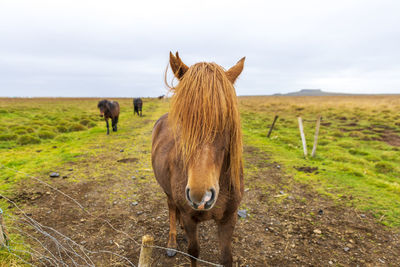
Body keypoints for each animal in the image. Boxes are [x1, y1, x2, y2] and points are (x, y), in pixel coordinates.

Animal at [152, 51, 245, 266]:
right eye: (182, 119)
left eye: (227, 119)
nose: (201, 196)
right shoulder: (189, 217)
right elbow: (193, 251)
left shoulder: (229, 218)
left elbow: (226, 257)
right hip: (168, 192)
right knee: (171, 209)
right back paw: (171, 242)